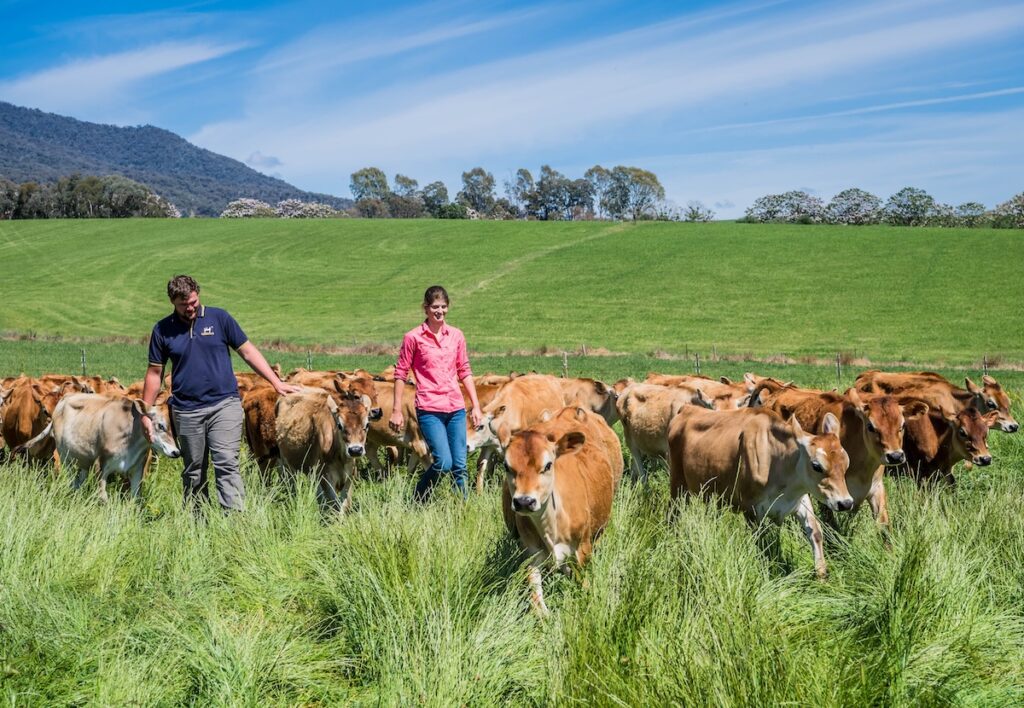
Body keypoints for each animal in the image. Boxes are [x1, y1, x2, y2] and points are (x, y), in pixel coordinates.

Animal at [501, 415, 614, 614]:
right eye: (507, 466)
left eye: (548, 465)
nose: (524, 501)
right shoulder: (531, 552)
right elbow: (537, 603)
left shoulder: (583, 549)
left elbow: (583, 584)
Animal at [667, 407, 851, 577]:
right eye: (816, 465)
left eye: (846, 464)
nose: (845, 503)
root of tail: (687, 409)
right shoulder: (751, 509)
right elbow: (761, 544)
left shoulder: (800, 499)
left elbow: (816, 532)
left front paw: (821, 574)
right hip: (678, 484)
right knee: (673, 514)